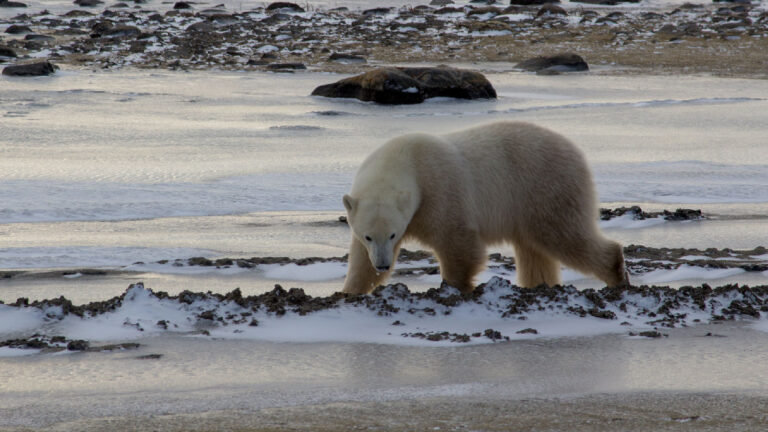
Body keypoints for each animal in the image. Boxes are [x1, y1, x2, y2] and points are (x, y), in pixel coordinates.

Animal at [342, 121, 627, 294]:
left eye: (392, 234)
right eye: (368, 236)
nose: (383, 265)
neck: (406, 160)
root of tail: (576, 151)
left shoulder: (440, 192)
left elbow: (459, 244)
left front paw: (454, 286)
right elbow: (360, 261)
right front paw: (350, 290)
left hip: (545, 187)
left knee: (565, 235)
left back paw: (616, 276)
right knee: (534, 250)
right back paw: (538, 286)